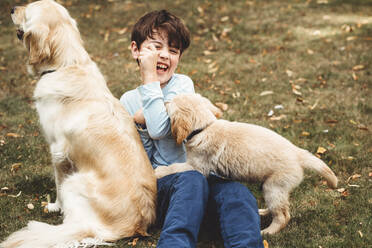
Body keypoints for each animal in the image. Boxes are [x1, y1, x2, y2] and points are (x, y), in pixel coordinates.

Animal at [2, 0, 155, 247]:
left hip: (75, 183)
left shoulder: (57, 150)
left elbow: (57, 183)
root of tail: (133, 225)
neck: (67, 65)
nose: (12, 8)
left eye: (28, 10)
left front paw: (55, 206)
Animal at [155, 93, 338, 234]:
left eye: (171, 103)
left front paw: (158, 171)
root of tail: (297, 153)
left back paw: (268, 232)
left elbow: (174, 167)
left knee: (283, 216)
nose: (164, 101)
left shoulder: (197, 166)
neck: (204, 128)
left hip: (274, 186)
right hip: (272, 187)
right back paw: (263, 211)